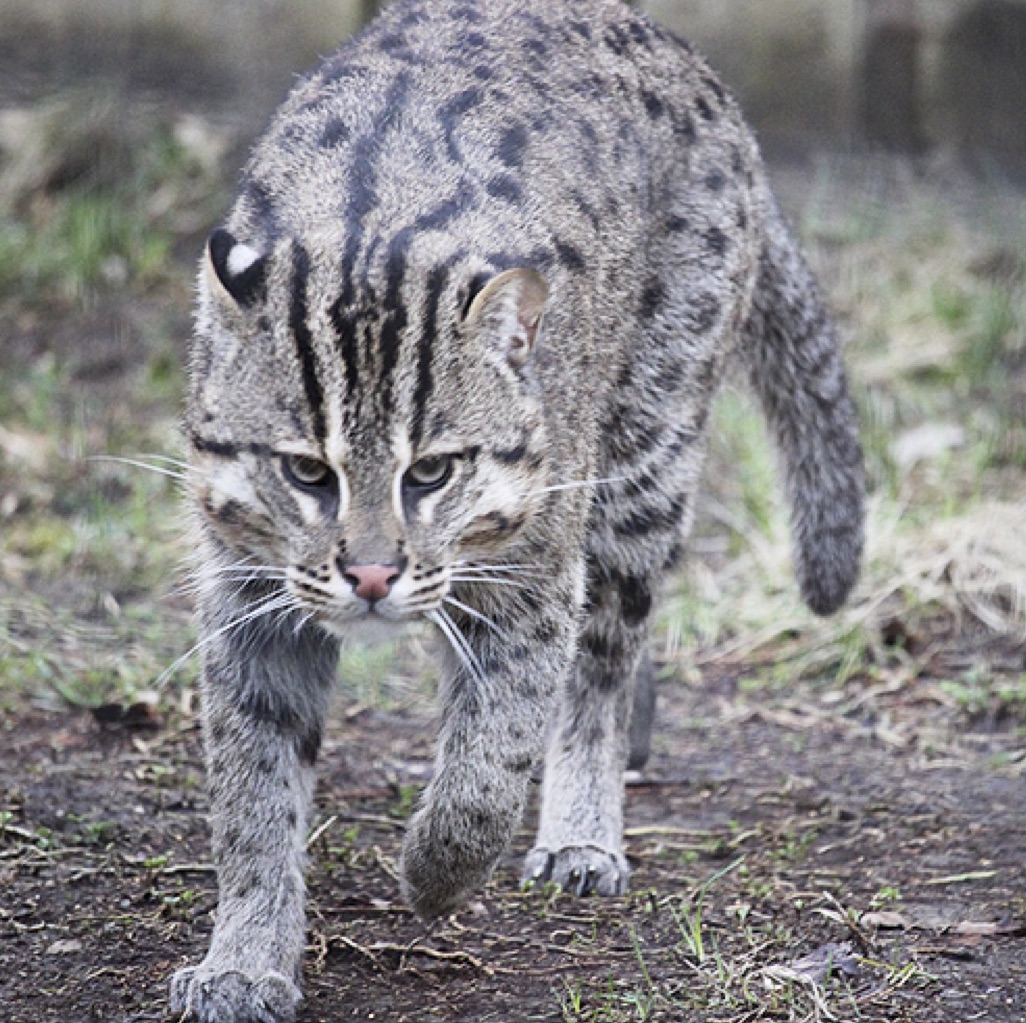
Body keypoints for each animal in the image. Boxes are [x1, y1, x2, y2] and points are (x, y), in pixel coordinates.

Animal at [172, 1, 861, 1013]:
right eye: (305, 471)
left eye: (432, 471)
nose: (371, 573)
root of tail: (676, 49)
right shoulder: (250, 593)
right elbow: (253, 789)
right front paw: (245, 959)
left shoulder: (534, 573)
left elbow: (491, 762)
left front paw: (434, 872)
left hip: (644, 458)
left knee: (604, 658)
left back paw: (582, 829)